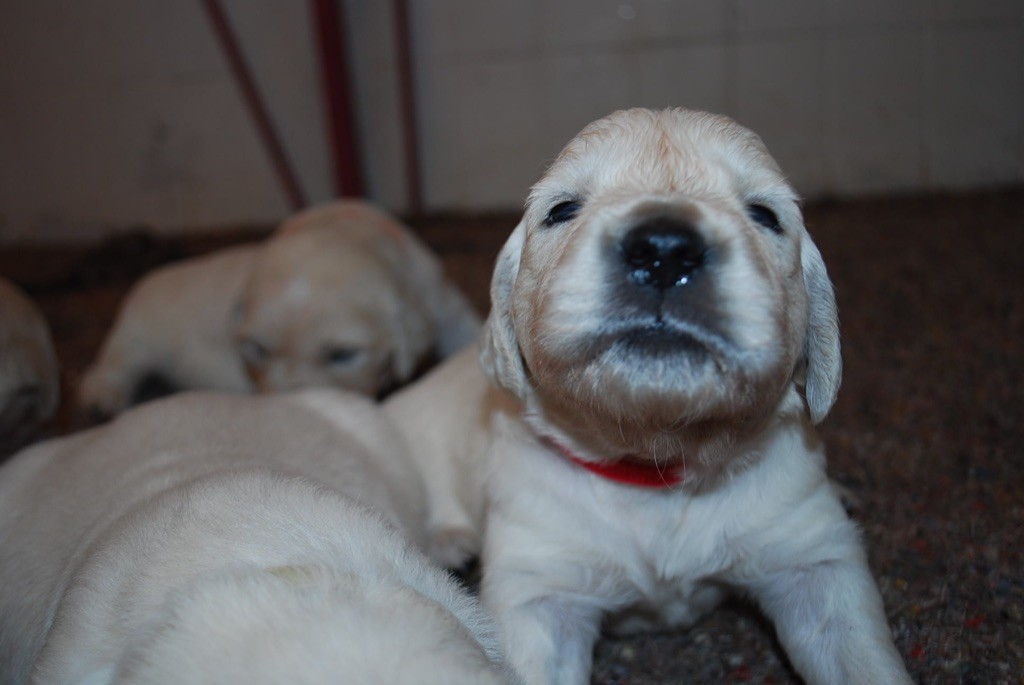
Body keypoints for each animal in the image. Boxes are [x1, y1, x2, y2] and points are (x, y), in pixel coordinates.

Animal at [78, 198, 479, 417]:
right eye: (256, 349)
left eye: (343, 354)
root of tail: (150, 275)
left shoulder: (439, 298)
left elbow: (466, 333)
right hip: (135, 333)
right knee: (116, 364)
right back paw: (101, 399)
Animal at [385, 108, 913, 683]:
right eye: (561, 210)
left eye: (765, 214)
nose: (664, 250)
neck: (657, 464)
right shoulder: (538, 584)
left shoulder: (814, 558)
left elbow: (863, 657)